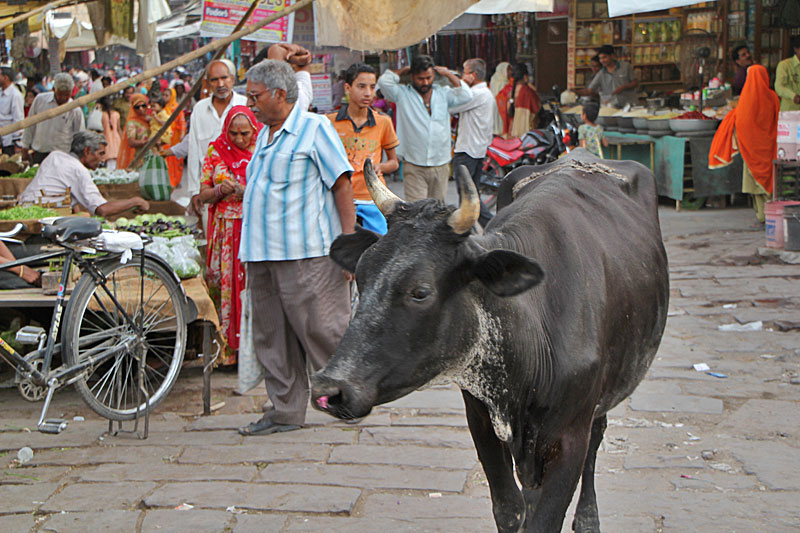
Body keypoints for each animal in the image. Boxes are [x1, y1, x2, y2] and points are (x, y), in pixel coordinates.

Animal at [312, 151, 668, 532]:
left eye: (420, 292)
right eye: (361, 276)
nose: (329, 387)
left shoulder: (570, 435)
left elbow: (547, 516)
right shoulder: (481, 420)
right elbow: (510, 510)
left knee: (598, 434)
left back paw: (588, 517)